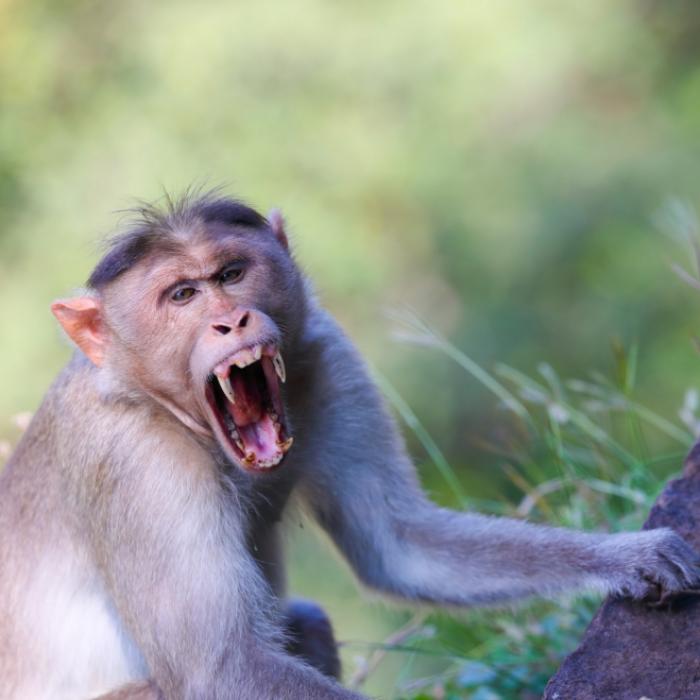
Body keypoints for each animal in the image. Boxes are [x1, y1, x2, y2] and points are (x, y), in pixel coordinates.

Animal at [0, 191, 698, 700]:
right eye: (182, 295)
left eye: (231, 273)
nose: (232, 320)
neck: (153, 400)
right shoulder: (135, 460)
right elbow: (223, 669)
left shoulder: (326, 353)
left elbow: (396, 542)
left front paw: (629, 555)